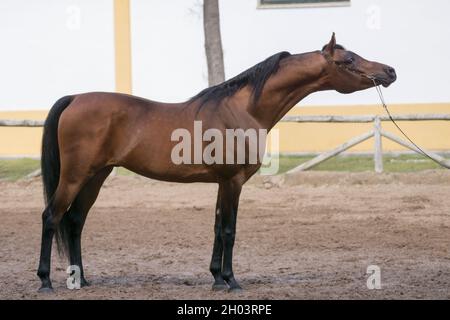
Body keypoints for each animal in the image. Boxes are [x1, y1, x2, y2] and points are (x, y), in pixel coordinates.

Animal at [38, 34, 398, 292]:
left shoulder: (221, 183)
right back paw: (46, 282)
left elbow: (215, 227)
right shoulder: (233, 181)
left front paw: (215, 278)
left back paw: (81, 279)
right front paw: (232, 281)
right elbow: (229, 230)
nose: (390, 71)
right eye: (348, 60)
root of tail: (74, 98)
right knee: (52, 217)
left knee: (75, 221)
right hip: (75, 176)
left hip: (96, 176)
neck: (243, 110)